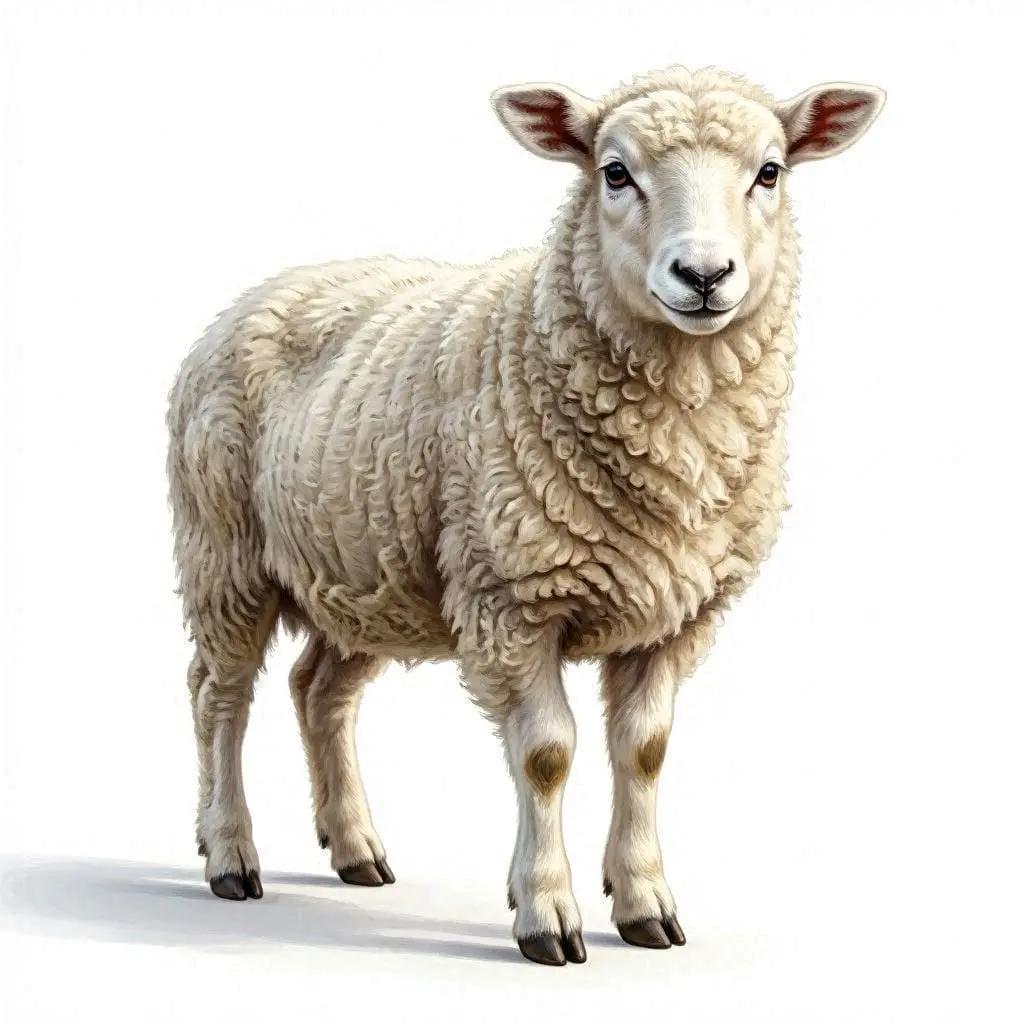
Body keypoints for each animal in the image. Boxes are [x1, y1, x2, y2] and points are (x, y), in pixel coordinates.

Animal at [166, 64, 884, 967]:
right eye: (614, 172)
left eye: (770, 172)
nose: (703, 274)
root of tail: (262, 291)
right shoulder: (511, 599)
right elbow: (547, 755)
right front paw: (546, 911)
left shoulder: (676, 616)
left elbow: (645, 751)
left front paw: (645, 904)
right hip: (224, 549)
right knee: (219, 694)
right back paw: (229, 853)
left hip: (365, 567)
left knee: (318, 691)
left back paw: (355, 847)